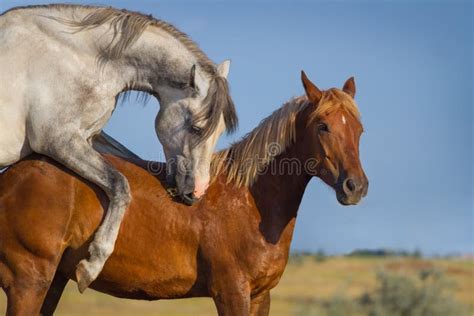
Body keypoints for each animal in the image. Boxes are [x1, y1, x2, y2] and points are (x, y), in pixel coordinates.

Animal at [0, 4, 237, 292]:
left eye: (220, 131)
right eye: (197, 128)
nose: (197, 193)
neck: (76, 56)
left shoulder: (88, 138)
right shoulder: (57, 139)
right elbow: (120, 184)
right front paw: (92, 265)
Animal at [0, 72, 366, 316]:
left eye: (359, 130)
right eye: (323, 126)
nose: (356, 187)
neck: (249, 201)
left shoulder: (261, 296)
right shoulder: (232, 293)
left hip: (52, 282)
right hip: (28, 284)